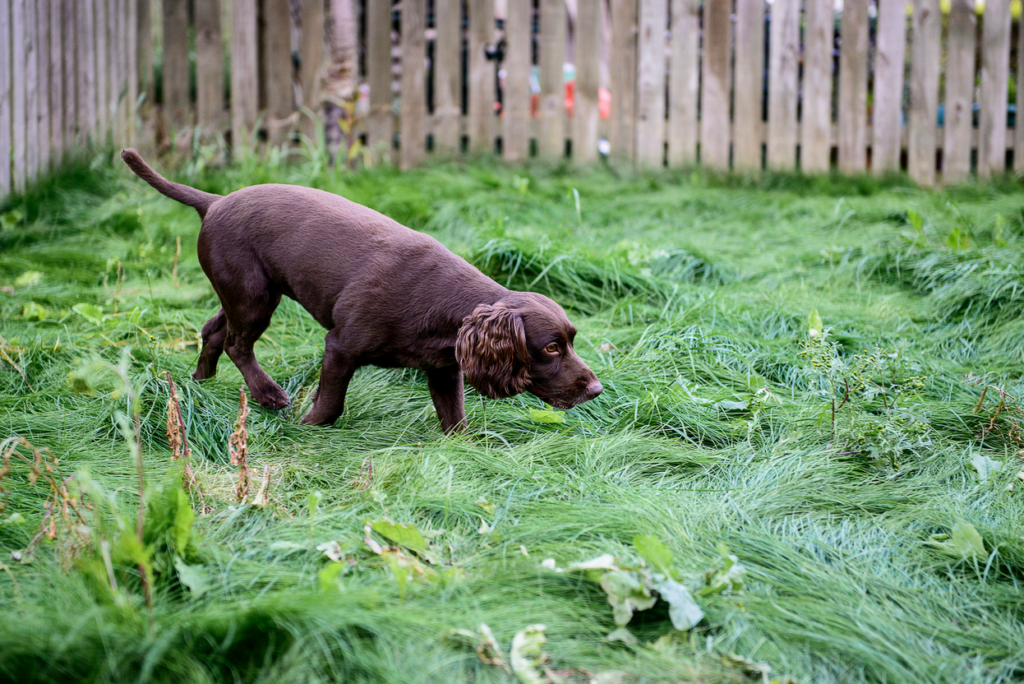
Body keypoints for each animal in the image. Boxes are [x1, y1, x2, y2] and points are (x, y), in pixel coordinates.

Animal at [121, 148, 598, 432]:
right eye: (551, 348)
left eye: (572, 341)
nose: (596, 390)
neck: (442, 305)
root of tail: (215, 201)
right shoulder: (340, 347)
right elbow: (331, 403)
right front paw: (308, 427)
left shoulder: (444, 369)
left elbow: (454, 419)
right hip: (253, 295)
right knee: (238, 343)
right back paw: (269, 395)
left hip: (246, 291)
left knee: (213, 329)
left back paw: (200, 384)